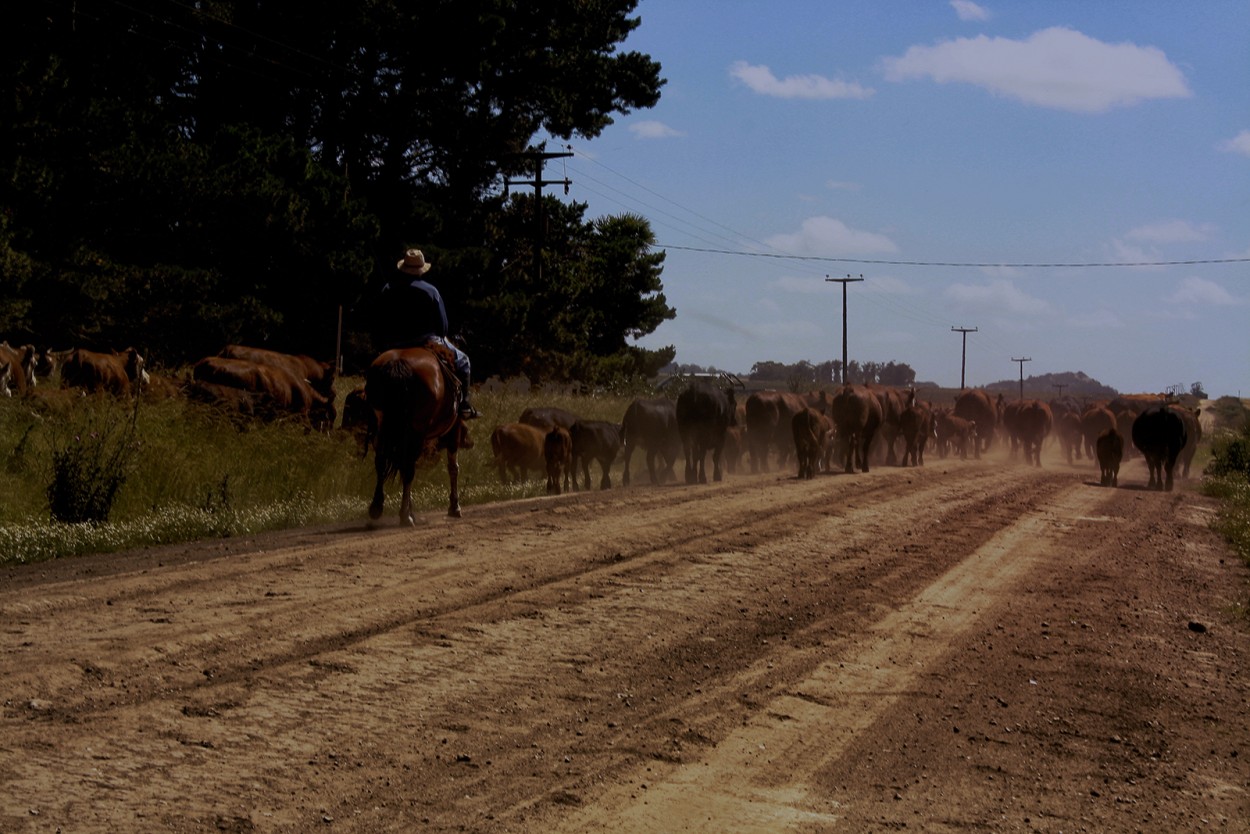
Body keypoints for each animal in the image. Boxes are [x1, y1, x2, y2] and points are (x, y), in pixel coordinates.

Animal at [365, 347, 472, 527]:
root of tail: (398, 363)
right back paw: (404, 516)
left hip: (383, 427)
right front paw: (454, 507)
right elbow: (453, 468)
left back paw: (377, 507)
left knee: (383, 463)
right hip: (416, 432)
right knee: (408, 469)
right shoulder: (453, 431)